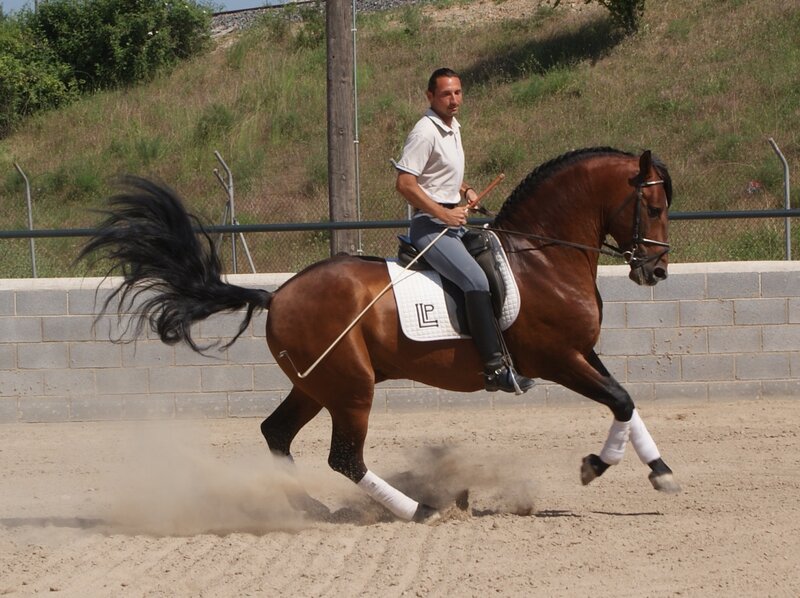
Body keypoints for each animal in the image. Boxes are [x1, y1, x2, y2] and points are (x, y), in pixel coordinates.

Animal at [80, 146, 679, 523]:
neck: (544, 258)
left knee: (277, 434)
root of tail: (278, 294)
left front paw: (661, 472)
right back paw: (420, 510)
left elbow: (628, 402)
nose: (656, 271)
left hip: (317, 385)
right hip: (351, 388)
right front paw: (596, 466)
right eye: (652, 207)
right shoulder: (558, 358)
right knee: (344, 458)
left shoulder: (584, 352)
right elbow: (620, 400)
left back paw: (313, 509)